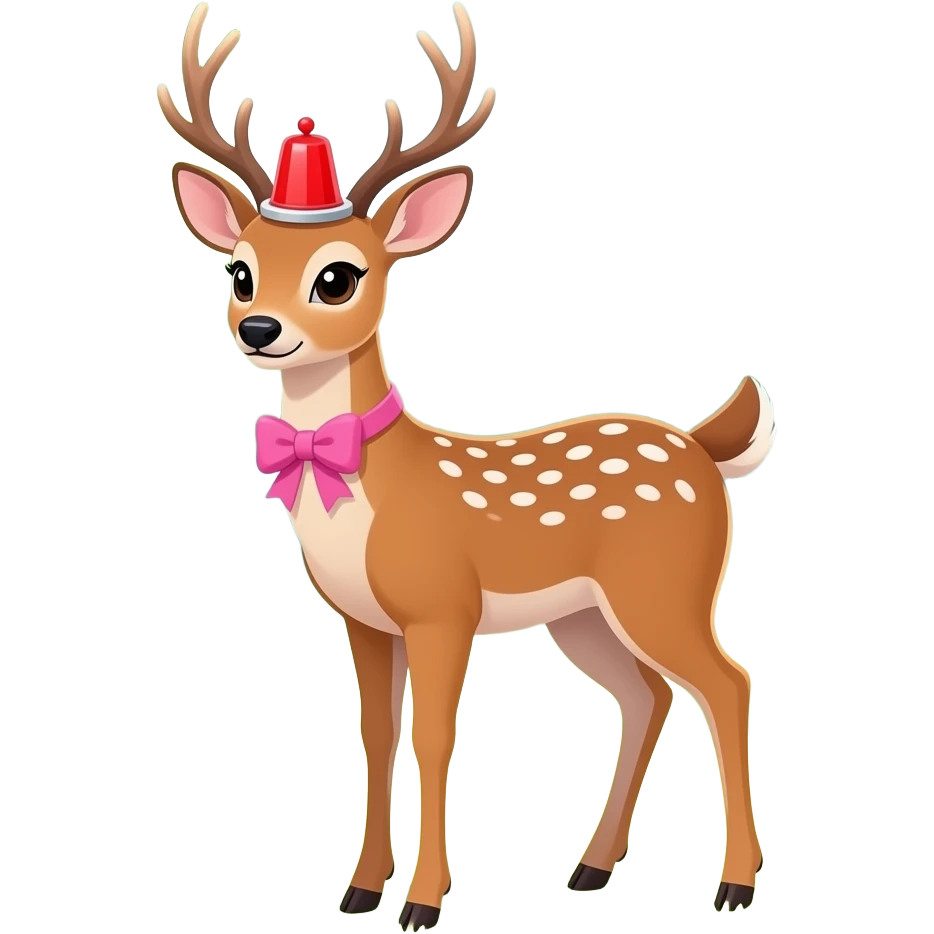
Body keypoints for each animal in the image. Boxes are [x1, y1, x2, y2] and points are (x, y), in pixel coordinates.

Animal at [157, 2, 773, 928]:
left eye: (339, 276)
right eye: (239, 272)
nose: (259, 329)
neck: (370, 487)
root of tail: (702, 446)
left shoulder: (443, 606)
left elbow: (433, 736)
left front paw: (423, 900)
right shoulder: (364, 620)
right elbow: (376, 733)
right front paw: (360, 888)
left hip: (665, 586)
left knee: (727, 684)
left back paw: (735, 884)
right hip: (583, 615)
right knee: (647, 695)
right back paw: (590, 868)